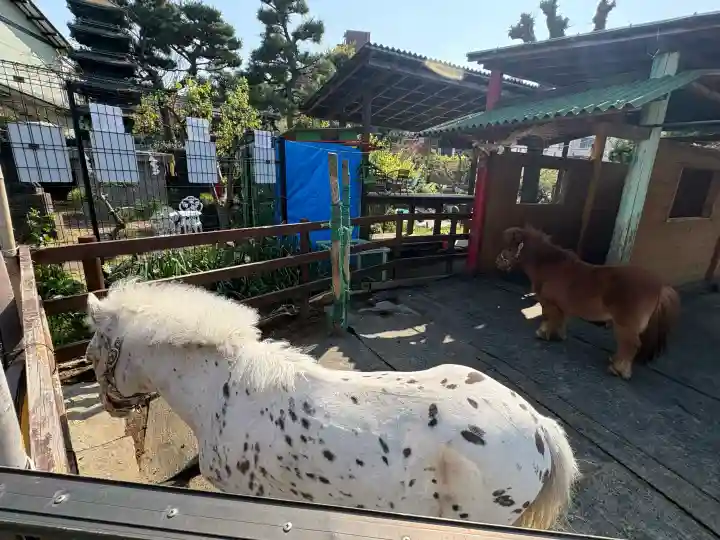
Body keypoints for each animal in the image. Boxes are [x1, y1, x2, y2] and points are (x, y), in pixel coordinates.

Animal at [495, 226, 680, 380]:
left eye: (510, 248)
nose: (497, 261)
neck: (550, 265)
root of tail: (660, 285)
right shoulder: (562, 307)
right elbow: (560, 322)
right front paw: (558, 336)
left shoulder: (549, 303)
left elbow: (548, 319)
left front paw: (542, 334)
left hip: (624, 325)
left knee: (630, 346)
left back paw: (618, 370)